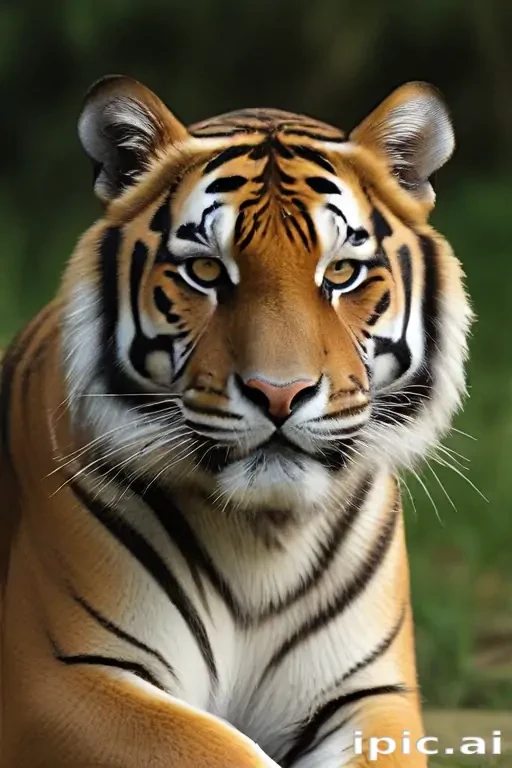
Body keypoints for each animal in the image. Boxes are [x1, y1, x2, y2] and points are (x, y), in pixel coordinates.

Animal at [0, 75, 472, 768]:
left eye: (341, 272)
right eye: (204, 271)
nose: (280, 393)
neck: (262, 537)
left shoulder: (370, 696)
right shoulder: (64, 676)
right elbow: (226, 751)